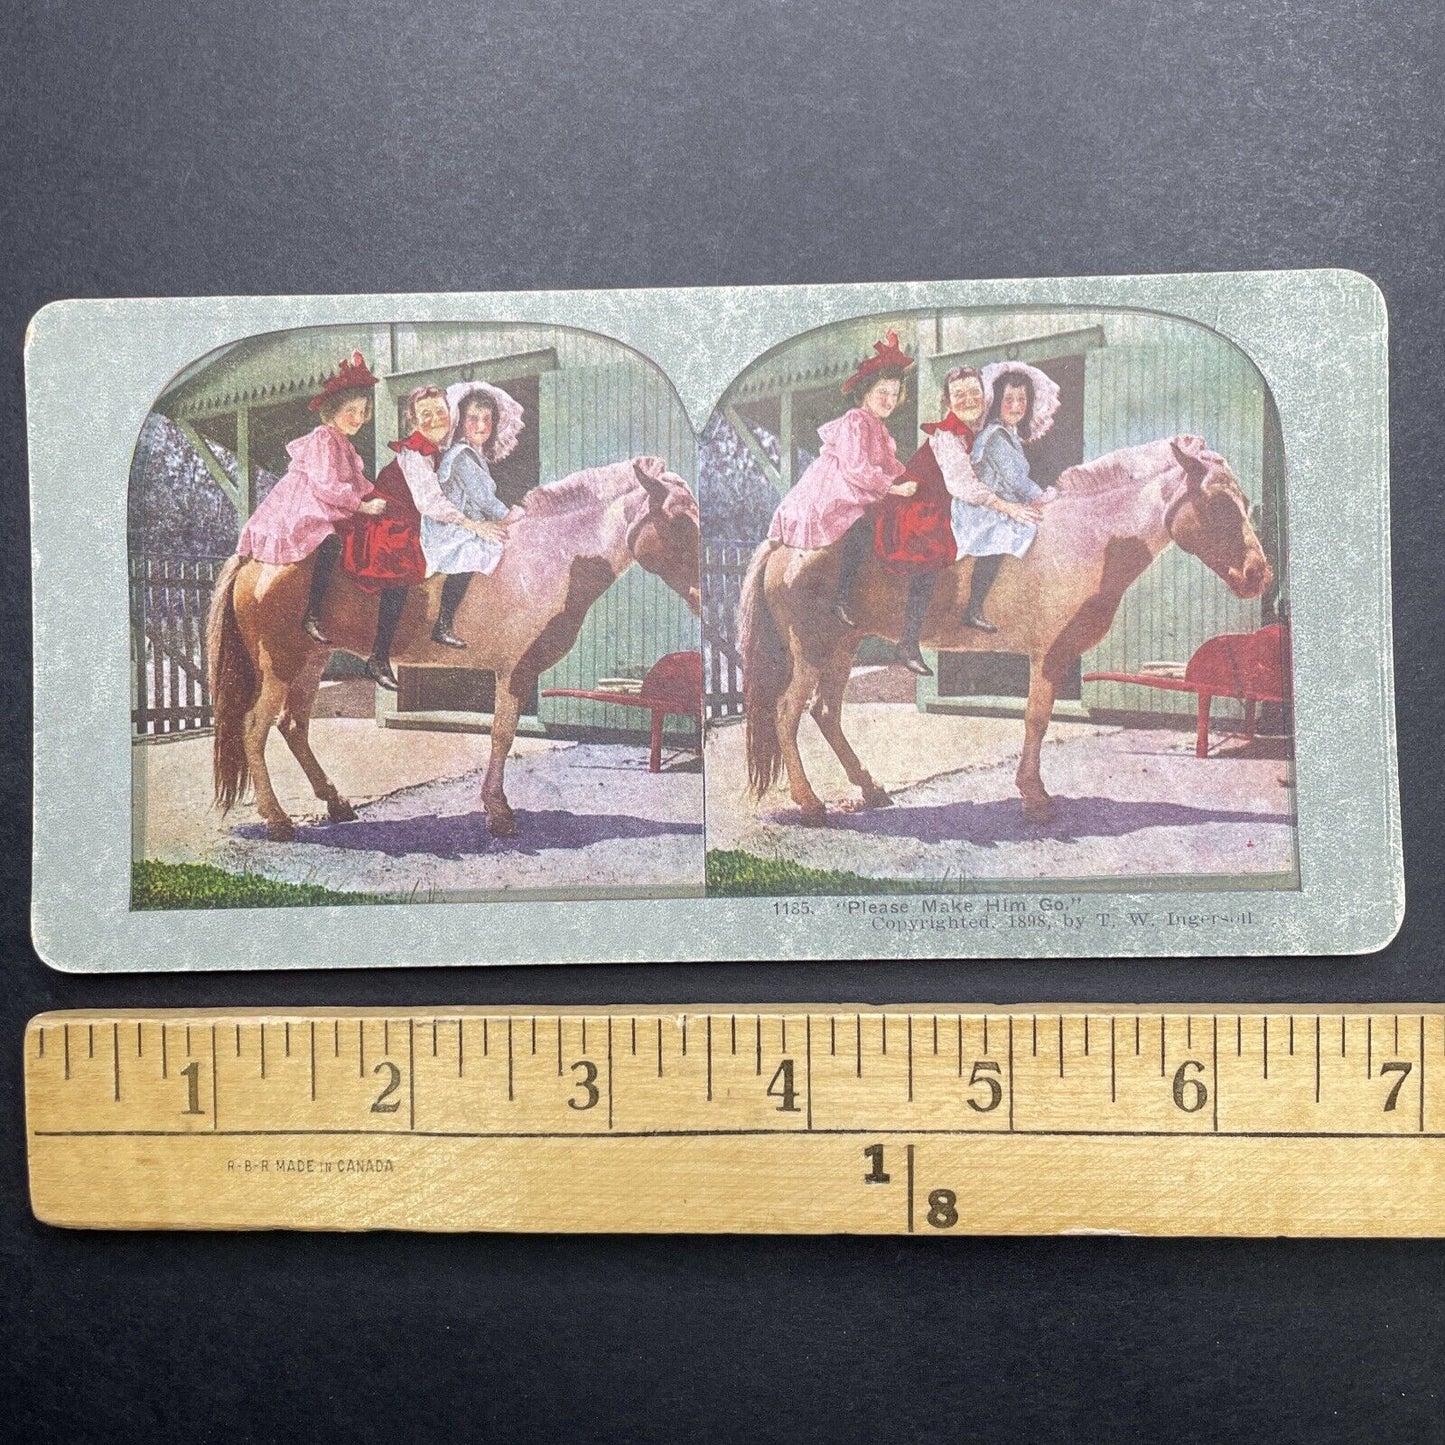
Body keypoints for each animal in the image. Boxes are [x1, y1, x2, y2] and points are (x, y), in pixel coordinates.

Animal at [208, 450, 699, 838]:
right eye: (679, 520)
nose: (702, 596)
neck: (544, 558)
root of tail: (256, 558)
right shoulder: (514, 671)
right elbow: (502, 734)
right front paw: (498, 814)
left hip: (311, 660)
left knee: (293, 727)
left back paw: (336, 804)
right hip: (279, 665)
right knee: (254, 729)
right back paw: (278, 820)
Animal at [739, 433, 1271, 826]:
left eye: (1244, 501)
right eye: (1219, 504)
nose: (1258, 575)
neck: (1080, 538)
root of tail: (785, 544)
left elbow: (1038, 720)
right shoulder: (1048, 654)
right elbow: (1036, 719)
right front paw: (1035, 799)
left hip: (842, 648)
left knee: (825, 713)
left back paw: (870, 789)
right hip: (812, 650)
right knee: (787, 713)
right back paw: (811, 803)